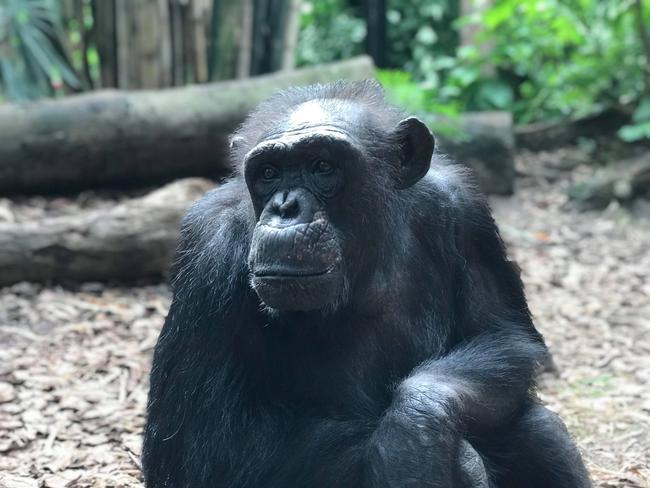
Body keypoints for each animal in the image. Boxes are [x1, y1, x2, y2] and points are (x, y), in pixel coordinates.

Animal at [144, 81, 588, 488]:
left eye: (322, 166)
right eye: (268, 173)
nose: (286, 207)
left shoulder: (464, 212)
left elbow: (503, 335)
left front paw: (414, 430)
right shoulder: (209, 253)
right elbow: (203, 450)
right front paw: (428, 456)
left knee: (536, 429)